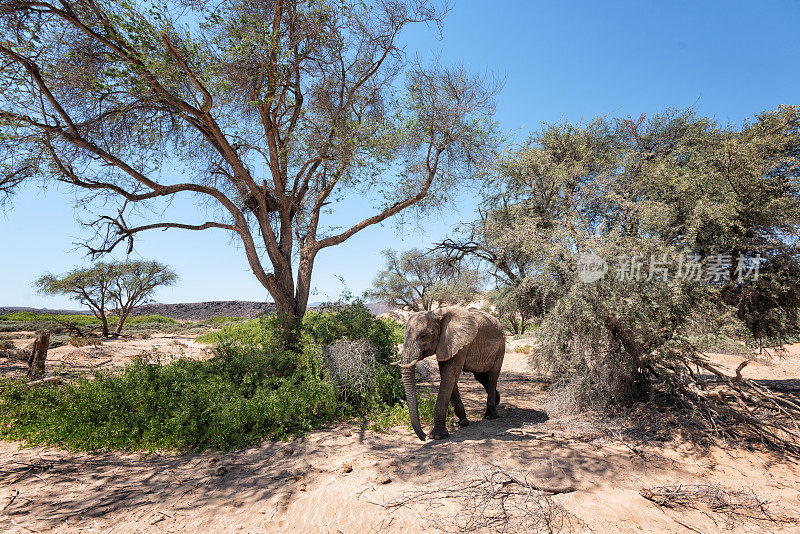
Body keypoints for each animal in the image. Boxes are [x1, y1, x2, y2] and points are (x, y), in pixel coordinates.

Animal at [400, 308, 506, 442]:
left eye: (423, 336)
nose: (424, 437)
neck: (436, 314)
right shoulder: (445, 345)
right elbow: (449, 378)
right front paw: (459, 423)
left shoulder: (461, 345)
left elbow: (448, 376)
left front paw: (437, 436)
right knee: (480, 377)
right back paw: (497, 399)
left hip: (501, 347)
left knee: (493, 376)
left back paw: (491, 416)